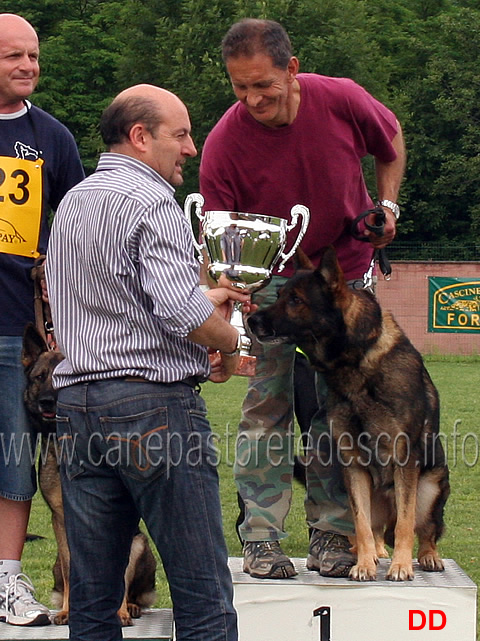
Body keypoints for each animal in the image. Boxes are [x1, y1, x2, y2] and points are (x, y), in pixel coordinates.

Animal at [21, 322, 157, 624]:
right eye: (40, 377)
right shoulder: (61, 521)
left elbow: (120, 573)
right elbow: (73, 571)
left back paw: (131, 606)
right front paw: (68, 610)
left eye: (60, 380)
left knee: (136, 589)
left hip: (141, 544)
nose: (47, 402)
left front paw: (119, 611)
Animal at [248, 248, 450, 584]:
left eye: (296, 300)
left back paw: (427, 556)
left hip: (431, 487)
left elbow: (406, 523)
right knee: (374, 529)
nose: (251, 319)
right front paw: (364, 565)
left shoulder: (404, 460)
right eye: (279, 295)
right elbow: (360, 522)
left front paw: (401, 566)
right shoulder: (353, 465)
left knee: (425, 528)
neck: (356, 361)